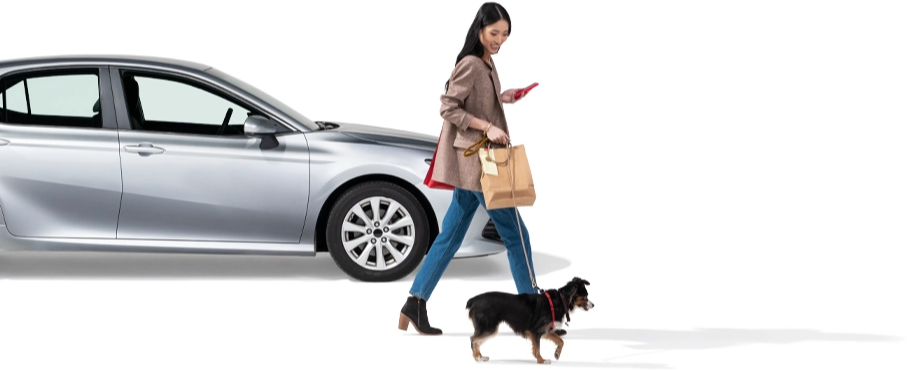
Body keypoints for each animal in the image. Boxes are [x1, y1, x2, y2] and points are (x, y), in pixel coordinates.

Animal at [464, 278, 592, 364]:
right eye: (585, 296)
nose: (593, 305)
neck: (561, 300)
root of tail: (473, 300)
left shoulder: (546, 330)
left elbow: (561, 341)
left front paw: (557, 353)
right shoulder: (535, 330)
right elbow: (537, 348)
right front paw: (541, 360)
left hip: (487, 326)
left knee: (476, 340)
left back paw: (480, 356)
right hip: (489, 327)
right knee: (473, 339)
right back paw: (477, 357)